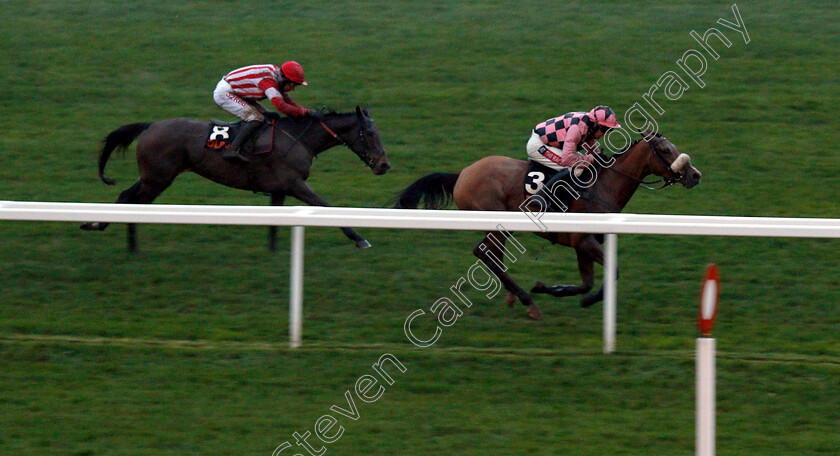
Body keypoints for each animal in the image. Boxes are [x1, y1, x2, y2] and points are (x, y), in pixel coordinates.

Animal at [82, 107, 390, 253]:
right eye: (370, 134)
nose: (384, 165)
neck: (299, 138)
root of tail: (150, 126)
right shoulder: (294, 183)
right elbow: (326, 207)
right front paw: (360, 239)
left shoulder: (279, 189)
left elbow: (274, 224)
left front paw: (272, 253)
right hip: (158, 179)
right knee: (136, 204)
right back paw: (132, 246)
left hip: (153, 176)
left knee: (126, 195)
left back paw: (95, 224)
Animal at [394, 130, 704, 318]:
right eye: (665, 149)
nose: (695, 175)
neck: (604, 185)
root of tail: (462, 174)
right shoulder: (584, 240)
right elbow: (611, 273)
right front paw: (578, 298)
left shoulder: (583, 244)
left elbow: (586, 282)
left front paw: (553, 289)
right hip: (495, 221)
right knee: (483, 253)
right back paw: (527, 302)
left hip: (502, 227)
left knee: (493, 257)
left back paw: (514, 296)